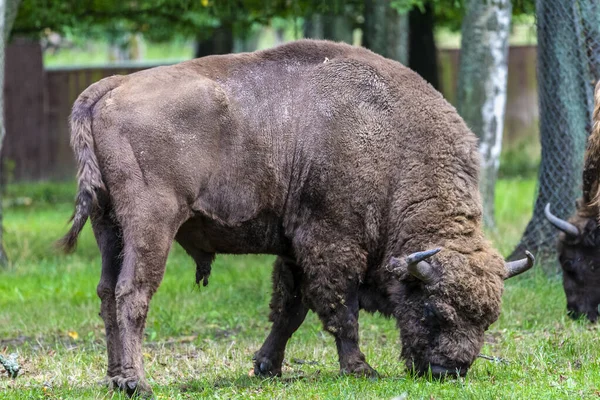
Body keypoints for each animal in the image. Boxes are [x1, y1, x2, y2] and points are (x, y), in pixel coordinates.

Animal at [61, 39, 536, 396]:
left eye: (489, 318)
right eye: (435, 310)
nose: (450, 371)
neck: (395, 148)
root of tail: (111, 86)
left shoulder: (293, 249)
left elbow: (290, 309)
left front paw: (266, 366)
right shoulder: (330, 241)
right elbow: (338, 308)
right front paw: (361, 369)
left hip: (109, 227)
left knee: (106, 292)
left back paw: (115, 378)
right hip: (150, 224)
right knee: (132, 294)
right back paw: (137, 383)